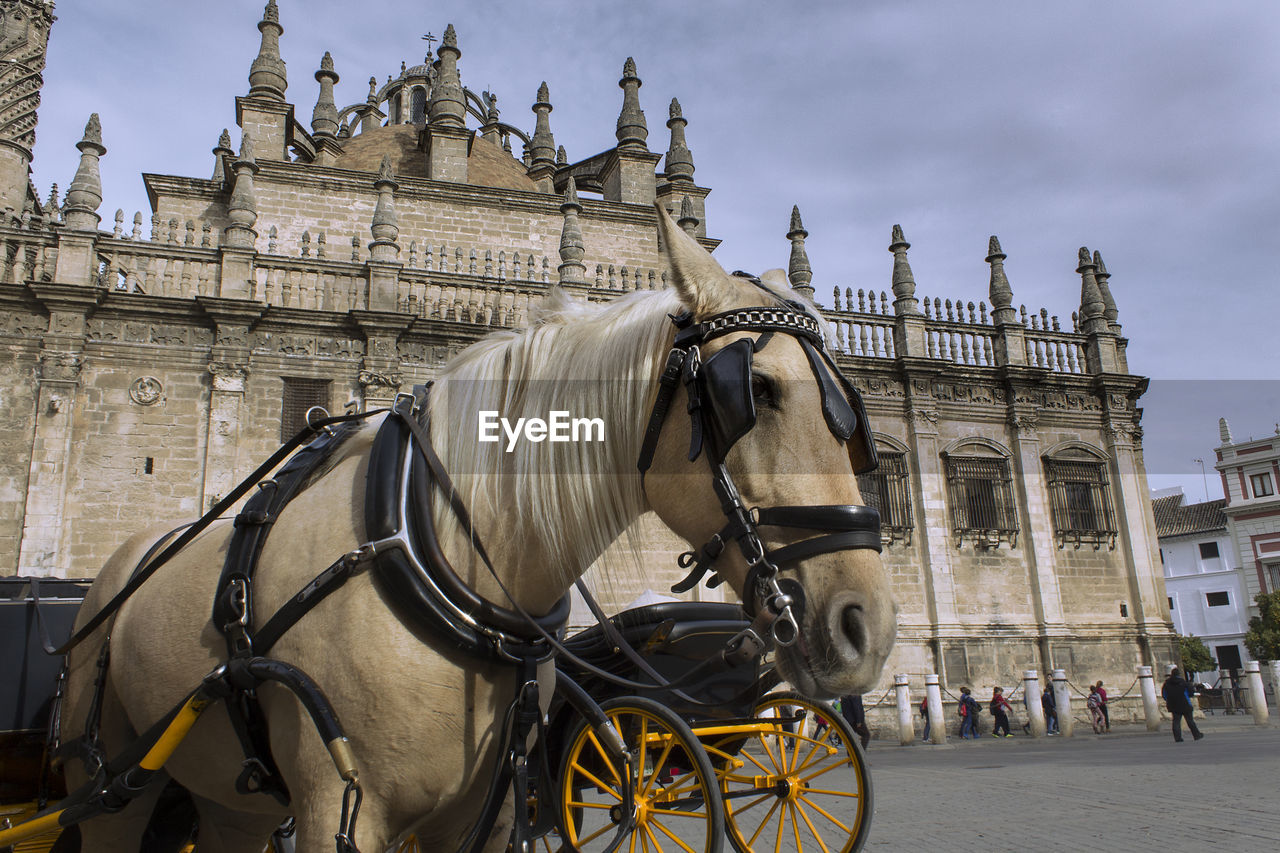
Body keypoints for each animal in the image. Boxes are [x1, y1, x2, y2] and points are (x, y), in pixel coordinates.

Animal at [62, 202, 901, 845]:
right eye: (754, 390)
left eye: (853, 419)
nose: (867, 624)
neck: (440, 546)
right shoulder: (337, 805)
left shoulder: (487, 809)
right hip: (107, 779)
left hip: (227, 798)